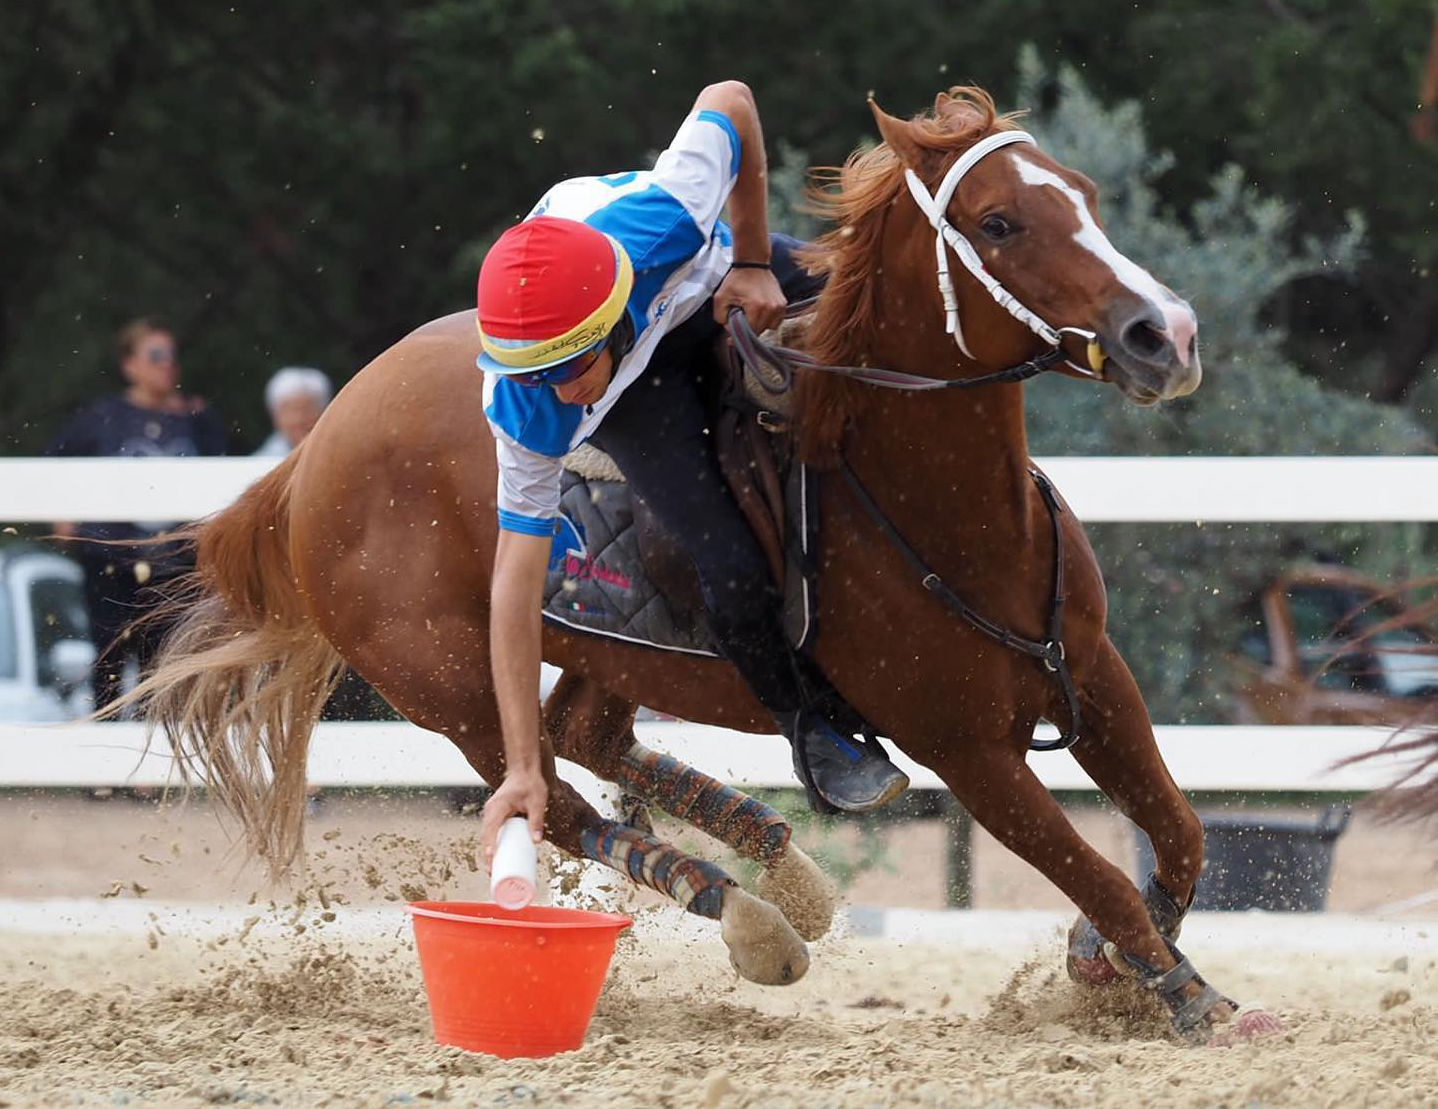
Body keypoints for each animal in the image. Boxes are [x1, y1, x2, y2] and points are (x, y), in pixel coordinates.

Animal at [129, 86, 1282, 1041]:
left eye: (1082, 193)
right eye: (999, 223)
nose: (1164, 333)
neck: (922, 494)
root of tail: (316, 449)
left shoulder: (1091, 670)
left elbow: (1176, 832)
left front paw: (1111, 964)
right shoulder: (968, 753)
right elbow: (1098, 871)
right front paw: (1186, 999)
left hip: (615, 652)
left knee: (584, 733)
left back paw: (784, 858)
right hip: (451, 687)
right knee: (559, 800)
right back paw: (756, 920)